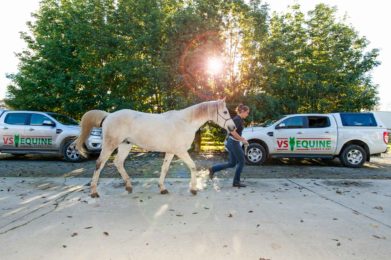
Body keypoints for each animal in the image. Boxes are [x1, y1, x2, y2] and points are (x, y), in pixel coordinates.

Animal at [76, 99, 236, 197]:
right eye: (225, 112)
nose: (232, 127)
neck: (185, 122)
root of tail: (108, 116)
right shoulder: (181, 151)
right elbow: (192, 166)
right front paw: (193, 189)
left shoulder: (171, 152)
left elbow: (164, 169)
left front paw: (162, 188)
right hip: (110, 145)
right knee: (99, 164)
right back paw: (94, 192)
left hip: (125, 145)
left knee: (118, 163)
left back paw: (128, 187)